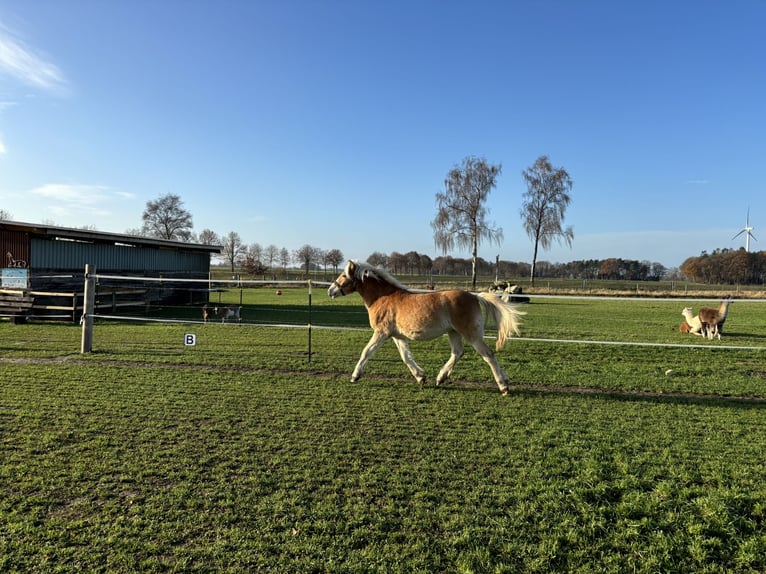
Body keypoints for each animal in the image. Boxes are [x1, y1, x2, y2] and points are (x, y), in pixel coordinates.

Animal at [328, 260, 524, 396]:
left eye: (344, 275)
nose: (331, 290)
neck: (382, 298)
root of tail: (475, 297)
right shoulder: (397, 335)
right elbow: (406, 357)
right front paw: (420, 377)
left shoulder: (381, 333)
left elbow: (366, 352)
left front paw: (355, 376)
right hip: (453, 332)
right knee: (457, 353)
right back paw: (441, 378)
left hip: (471, 334)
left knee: (488, 355)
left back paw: (503, 386)